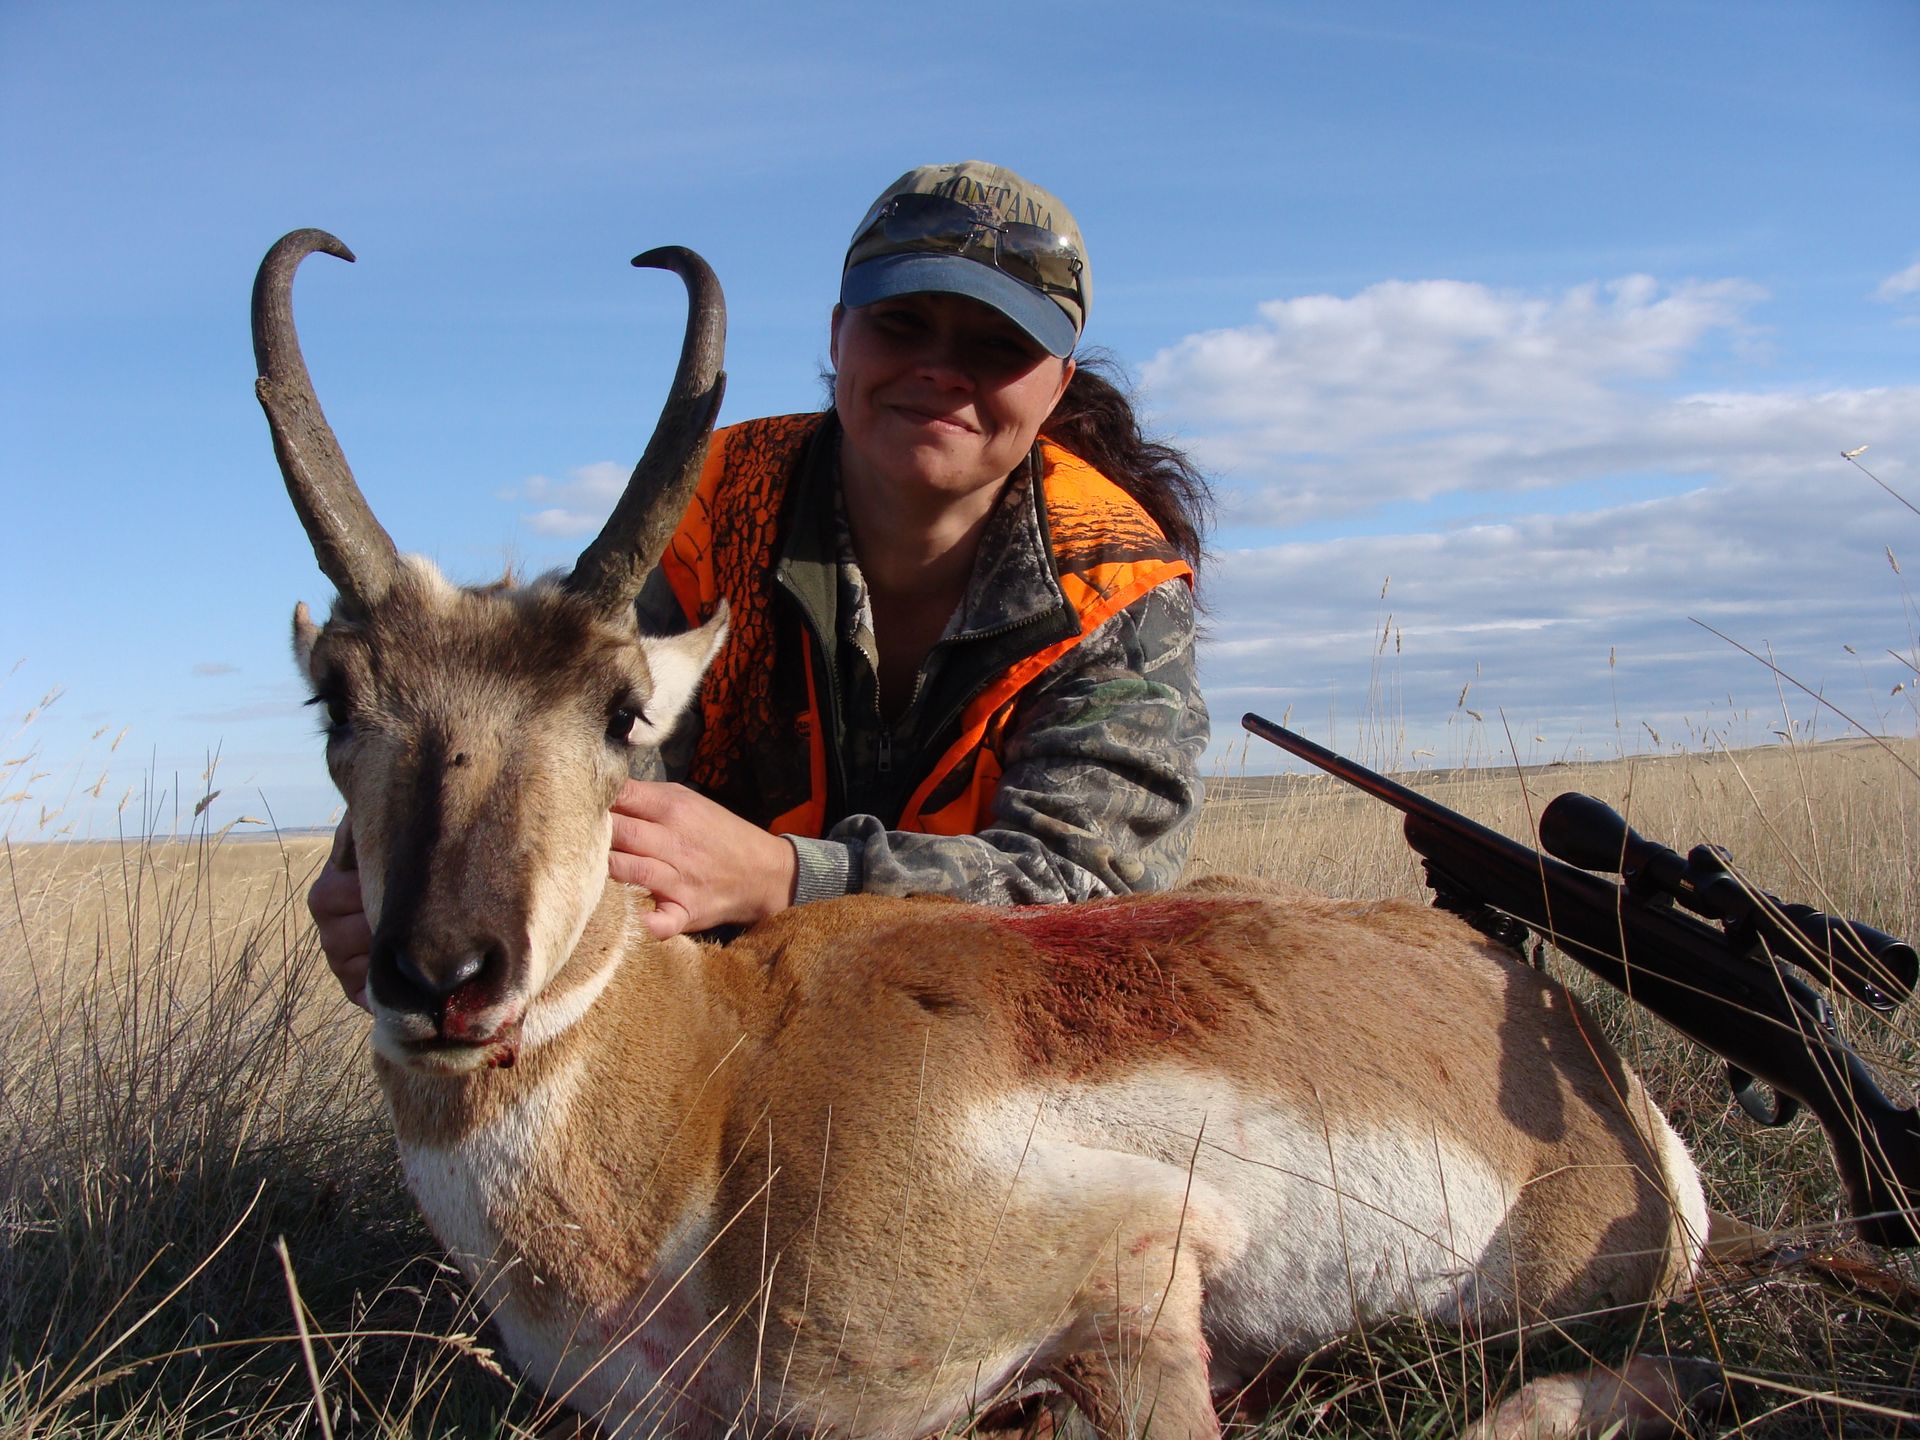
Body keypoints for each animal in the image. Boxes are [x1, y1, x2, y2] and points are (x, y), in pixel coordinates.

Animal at [257, 229, 1714, 1440]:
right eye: (335, 696)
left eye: (621, 712)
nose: (444, 976)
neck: (714, 1088)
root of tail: (1568, 1032)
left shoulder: (1134, 1266)